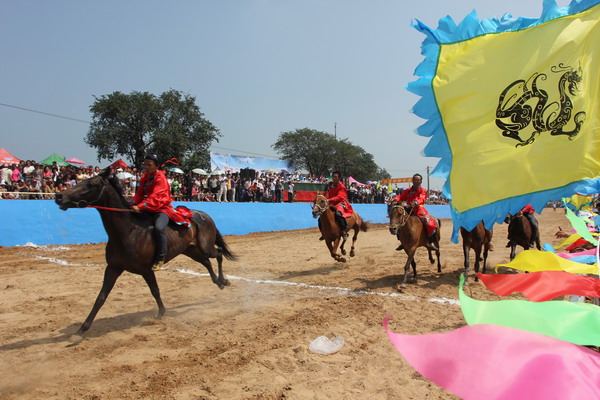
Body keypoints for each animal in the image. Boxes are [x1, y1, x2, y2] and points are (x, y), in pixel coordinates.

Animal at [55, 167, 236, 340]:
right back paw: (219, 282)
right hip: (190, 250)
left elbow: (155, 290)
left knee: (218, 253)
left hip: (205, 246)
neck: (129, 231)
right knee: (206, 261)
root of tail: (204, 215)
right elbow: (101, 297)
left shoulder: (146, 269)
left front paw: (161, 313)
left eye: (91, 184)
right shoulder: (113, 268)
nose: (59, 196)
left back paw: (223, 280)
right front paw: (81, 329)